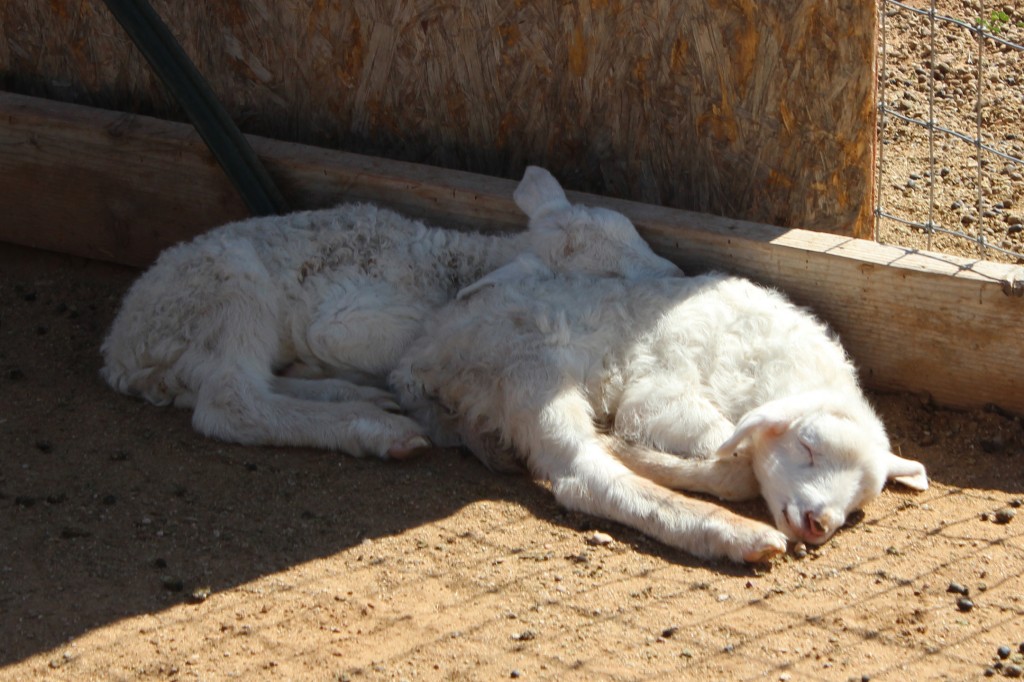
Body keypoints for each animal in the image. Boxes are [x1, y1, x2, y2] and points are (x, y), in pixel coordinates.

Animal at [101, 164, 679, 456]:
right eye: (603, 277)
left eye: (632, 233)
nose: (675, 275)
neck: (462, 268)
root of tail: (121, 351)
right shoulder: (344, 323)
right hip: (228, 293)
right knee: (230, 401)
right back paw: (378, 430)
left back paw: (355, 397)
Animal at [391, 258, 929, 561]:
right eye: (808, 447)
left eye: (860, 500)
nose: (820, 525)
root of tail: (421, 358)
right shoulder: (663, 390)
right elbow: (737, 466)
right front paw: (634, 451)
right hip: (529, 365)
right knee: (582, 477)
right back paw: (731, 535)